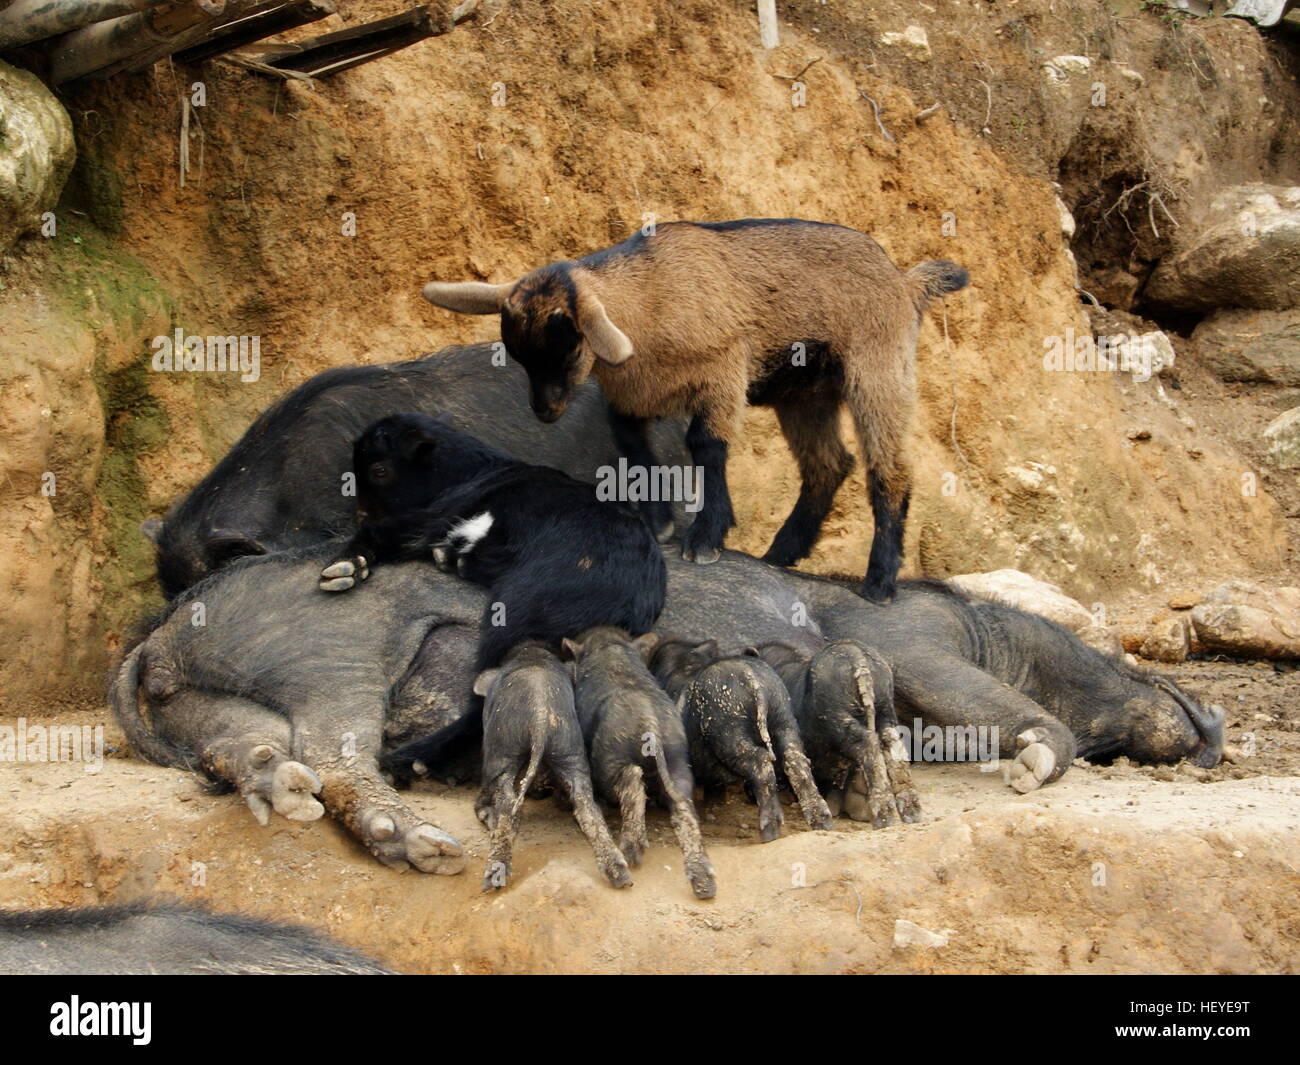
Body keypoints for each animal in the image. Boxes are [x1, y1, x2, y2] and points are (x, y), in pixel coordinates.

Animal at [475, 642, 631, 889]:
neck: (531, 652)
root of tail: (539, 721)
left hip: (502, 751)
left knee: (507, 804)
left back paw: (493, 879)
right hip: (570, 749)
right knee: (587, 806)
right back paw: (621, 877)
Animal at [564, 624, 717, 899]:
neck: (609, 646)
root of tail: (650, 722)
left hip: (609, 763)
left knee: (632, 783)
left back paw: (630, 855)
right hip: (678, 764)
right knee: (685, 811)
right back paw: (705, 887)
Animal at [650, 642, 832, 842]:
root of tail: (752, 678)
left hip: (729, 730)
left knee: (761, 762)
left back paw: (769, 832)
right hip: (783, 716)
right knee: (795, 759)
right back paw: (822, 823)